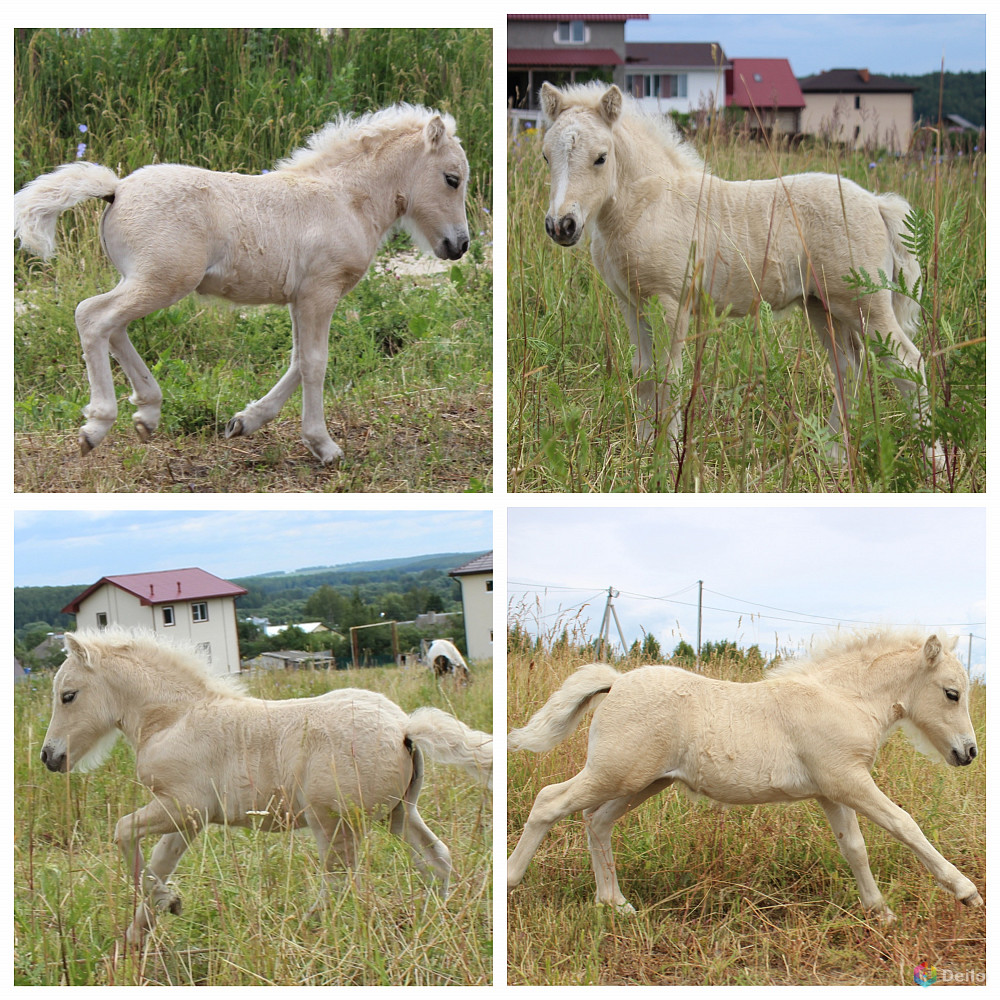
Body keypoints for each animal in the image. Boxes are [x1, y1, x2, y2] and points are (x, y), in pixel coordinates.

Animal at [41, 628, 494, 948]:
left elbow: (123, 832)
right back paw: (435, 919)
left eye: (68, 695)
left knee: (338, 880)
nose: (50, 757)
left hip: (332, 822)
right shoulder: (187, 819)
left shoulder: (183, 807)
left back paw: (305, 927)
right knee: (436, 857)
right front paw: (140, 934)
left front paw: (167, 905)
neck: (172, 718)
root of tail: (404, 727)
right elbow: (156, 865)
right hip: (399, 813)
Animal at [512, 632, 980, 920]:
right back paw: (509, 881)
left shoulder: (832, 790)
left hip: (642, 782)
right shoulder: (848, 781)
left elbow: (854, 849)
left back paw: (615, 905)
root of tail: (616, 682)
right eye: (951, 693)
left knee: (597, 821)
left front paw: (880, 912)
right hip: (615, 773)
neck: (844, 697)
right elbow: (905, 824)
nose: (970, 752)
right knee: (550, 801)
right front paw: (965, 891)